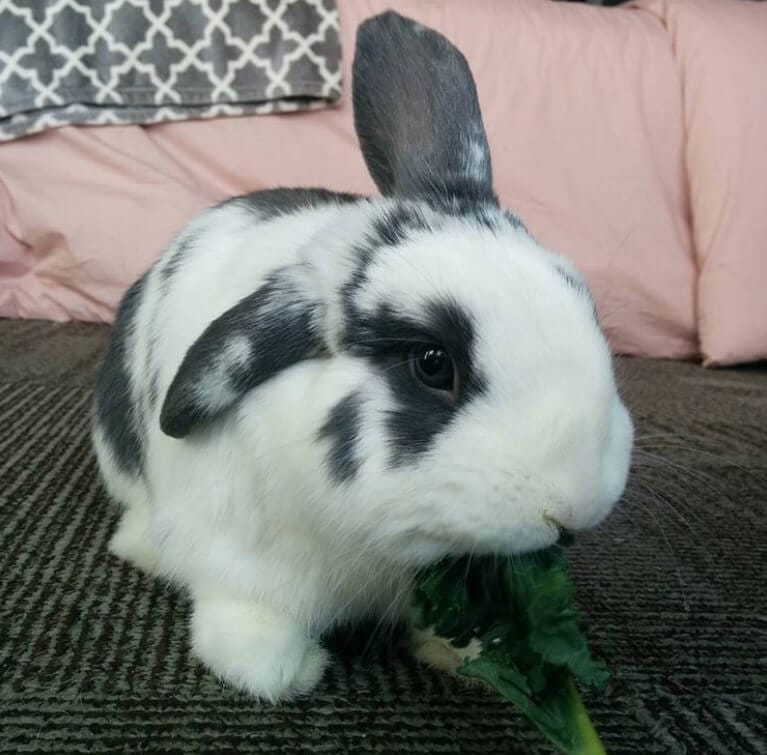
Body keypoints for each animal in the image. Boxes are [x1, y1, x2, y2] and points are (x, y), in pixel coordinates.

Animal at [92, 11, 634, 702]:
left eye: (582, 304)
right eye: (432, 363)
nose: (577, 508)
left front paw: (470, 652)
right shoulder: (237, 564)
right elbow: (247, 624)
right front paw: (282, 671)